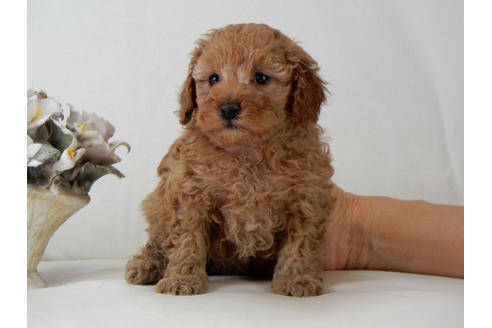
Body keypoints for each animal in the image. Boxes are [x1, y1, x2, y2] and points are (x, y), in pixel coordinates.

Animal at [125, 23, 336, 298]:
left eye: (261, 78)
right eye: (213, 79)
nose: (227, 108)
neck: (246, 152)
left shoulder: (306, 196)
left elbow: (300, 242)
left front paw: (296, 279)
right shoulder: (189, 192)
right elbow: (187, 239)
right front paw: (181, 279)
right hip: (157, 204)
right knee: (157, 240)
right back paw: (146, 265)